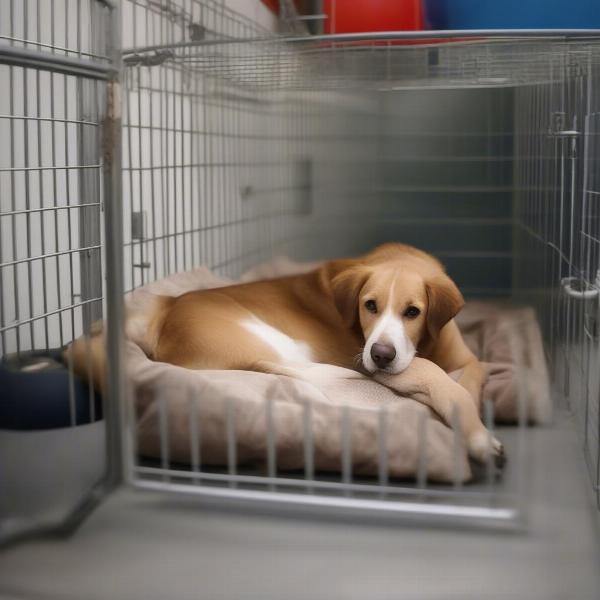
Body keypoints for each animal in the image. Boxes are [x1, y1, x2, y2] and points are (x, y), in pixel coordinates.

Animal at [68, 243, 504, 464]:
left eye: (413, 312)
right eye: (369, 306)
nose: (380, 354)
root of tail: (165, 310)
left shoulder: (464, 357)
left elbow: (475, 372)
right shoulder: (382, 362)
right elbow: (439, 378)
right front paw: (479, 438)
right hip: (271, 342)